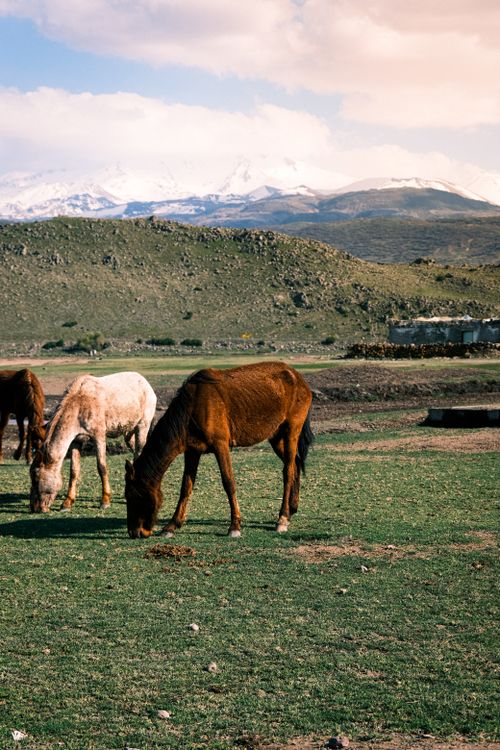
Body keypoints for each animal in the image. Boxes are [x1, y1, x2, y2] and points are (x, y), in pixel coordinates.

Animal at [30, 372, 157, 513]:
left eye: (35, 478)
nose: (34, 508)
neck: (79, 405)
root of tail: (146, 383)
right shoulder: (76, 441)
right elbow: (74, 471)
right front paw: (67, 503)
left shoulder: (99, 436)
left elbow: (101, 467)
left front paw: (105, 501)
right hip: (129, 433)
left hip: (142, 426)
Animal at [125, 361, 313, 539]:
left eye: (133, 496)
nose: (134, 532)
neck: (193, 408)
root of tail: (298, 377)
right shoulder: (192, 451)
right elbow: (186, 486)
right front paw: (172, 526)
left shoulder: (220, 445)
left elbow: (228, 482)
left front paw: (234, 526)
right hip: (276, 437)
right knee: (296, 464)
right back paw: (292, 509)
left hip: (291, 431)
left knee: (288, 471)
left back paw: (282, 518)